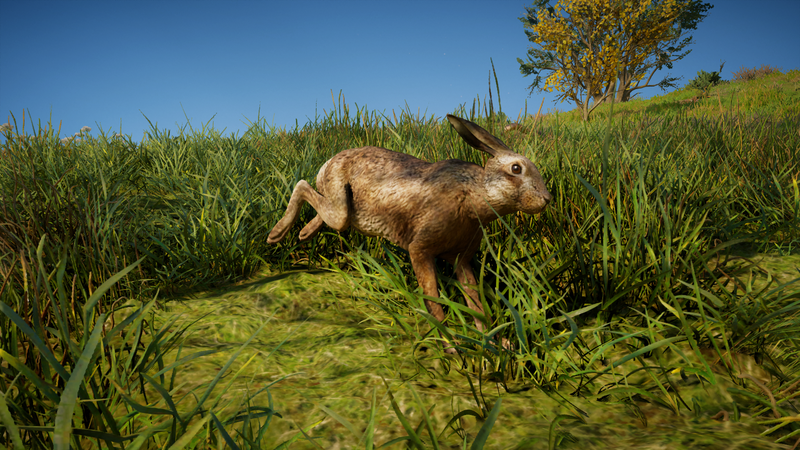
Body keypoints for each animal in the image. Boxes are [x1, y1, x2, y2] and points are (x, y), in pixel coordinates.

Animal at [268, 114, 552, 353]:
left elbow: (476, 303)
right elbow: (433, 300)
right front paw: (452, 347)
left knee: (320, 203)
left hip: (342, 212)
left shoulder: (461, 259)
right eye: (516, 169)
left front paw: (498, 344)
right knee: (303, 186)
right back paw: (276, 234)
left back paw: (304, 233)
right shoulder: (421, 250)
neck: (473, 194)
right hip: (340, 210)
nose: (546, 199)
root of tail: (329, 162)